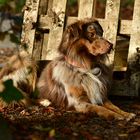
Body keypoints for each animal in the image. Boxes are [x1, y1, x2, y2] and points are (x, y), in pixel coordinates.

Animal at [0, 18, 136, 120]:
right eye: (92, 35)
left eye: (101, 34)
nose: (111, 45)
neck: (85, 66)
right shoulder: (78, 102)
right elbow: (100, 108)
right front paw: (117, 116)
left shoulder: (99, 95)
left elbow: (113, 106)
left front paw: (126, 113)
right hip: (26, 59)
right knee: (25, 96)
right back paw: (44, 102)